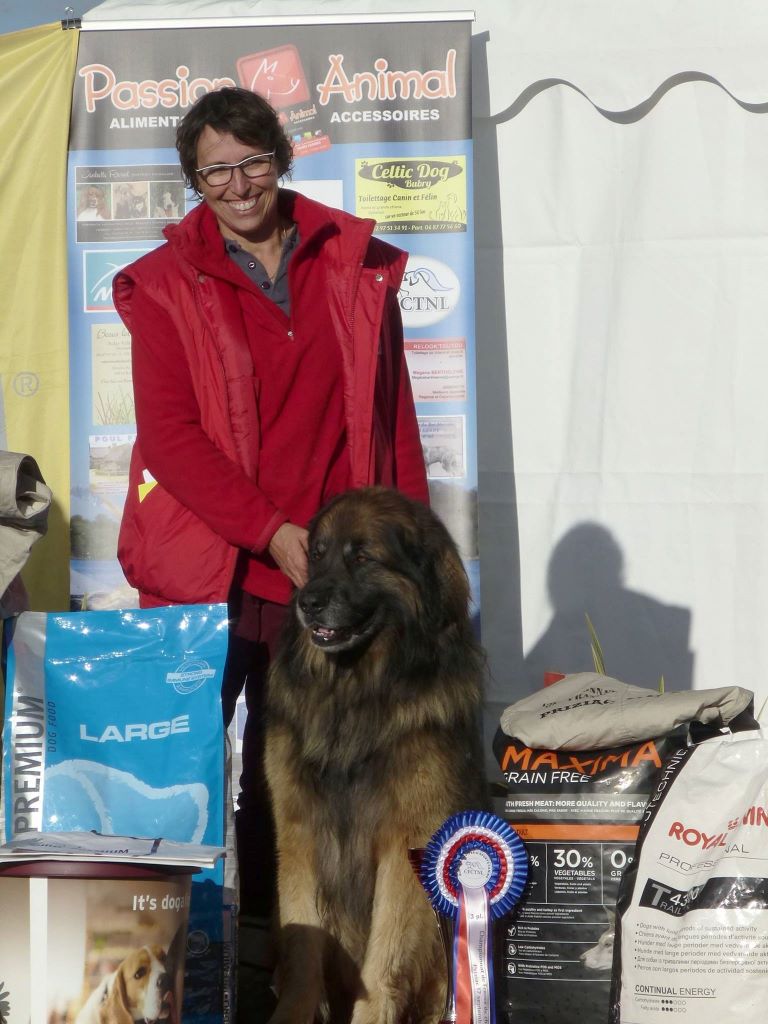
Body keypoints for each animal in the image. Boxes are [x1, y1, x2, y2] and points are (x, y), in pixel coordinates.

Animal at [265, 486, 486, 1024]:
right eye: (316, 554)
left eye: (362, 557)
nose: (308, 601)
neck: (355, 691)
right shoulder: (300, 831)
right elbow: (304, 944)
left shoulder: (404, 844)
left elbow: (383, 960)